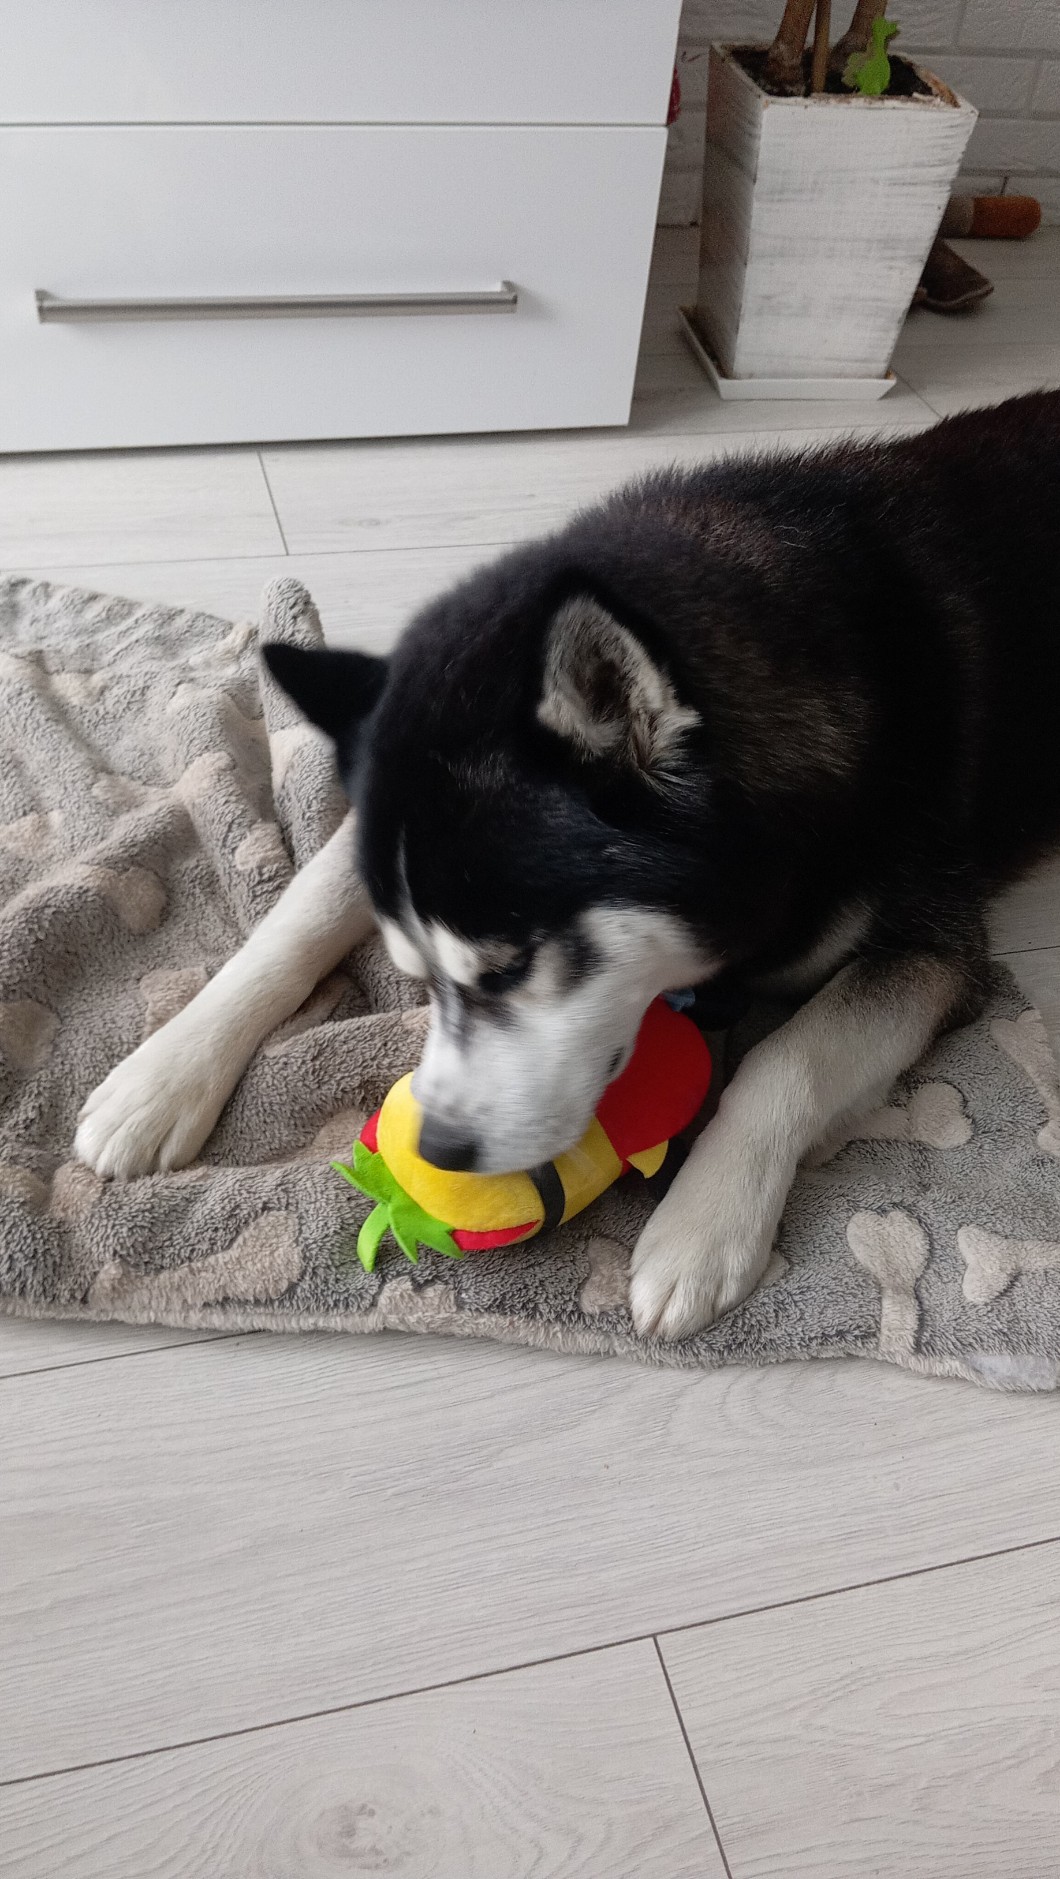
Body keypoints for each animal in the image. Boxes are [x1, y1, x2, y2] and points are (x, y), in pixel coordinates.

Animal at [75, 389, 1060, 1339]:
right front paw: (158, 1079)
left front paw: (703, 1226)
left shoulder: (933, 949)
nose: (437, 1151)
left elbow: (789, 1058)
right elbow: (293, 922)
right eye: (413, 973)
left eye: (512, 965)